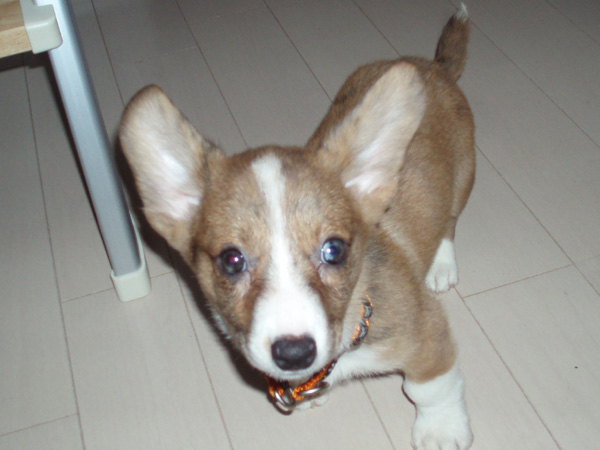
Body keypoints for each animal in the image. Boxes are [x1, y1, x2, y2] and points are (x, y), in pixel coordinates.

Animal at [119, 5, 475, 449]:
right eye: (231, 260)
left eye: (334, 250)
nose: (294, 354)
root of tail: (435, 66)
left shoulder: (427, 334)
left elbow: (429, 387)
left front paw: (442, 429)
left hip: (463, 178)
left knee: (450, 221)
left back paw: (441, 266)